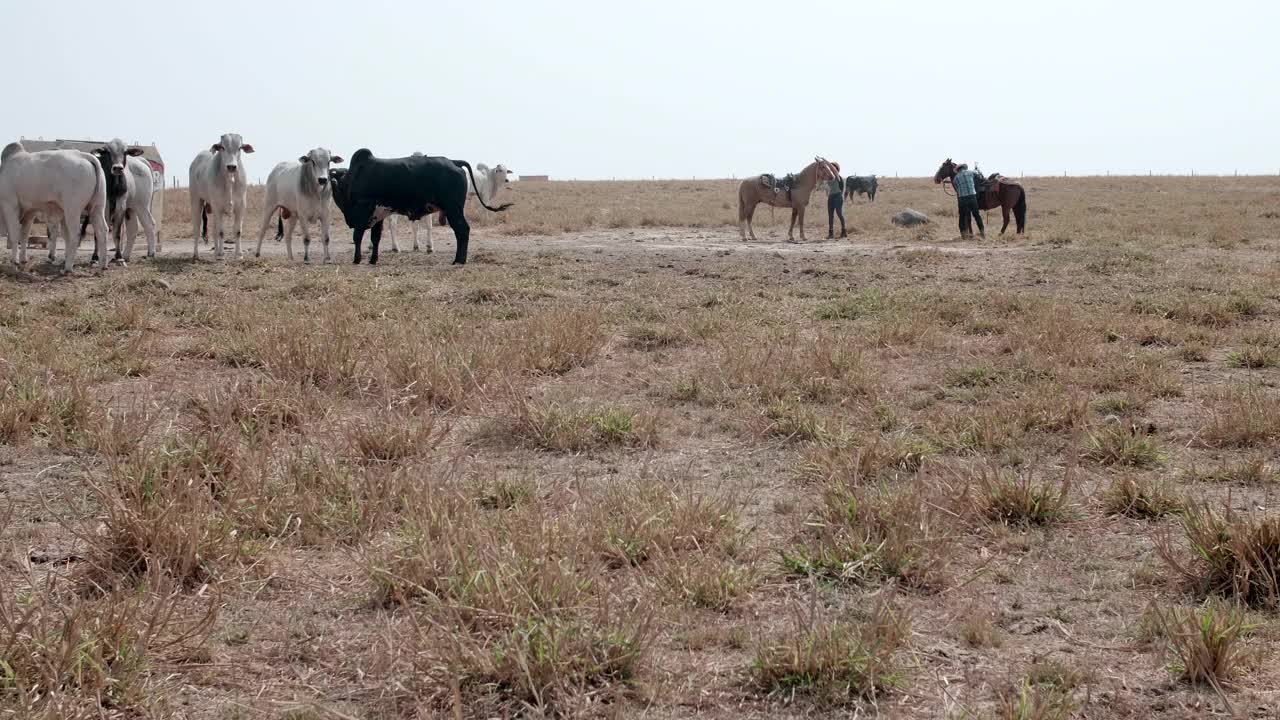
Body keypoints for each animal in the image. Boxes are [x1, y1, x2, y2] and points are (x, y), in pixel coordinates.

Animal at [0, 141, 110, 270]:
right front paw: (23, 259)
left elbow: (14, 234)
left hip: (72, 209)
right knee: (102, 230)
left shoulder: (9, 205)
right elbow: (24, 235)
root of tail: (83, 155)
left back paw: (68, 267)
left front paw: (14, 261)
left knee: (75, 233)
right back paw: (103, 265)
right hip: (97, 207)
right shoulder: (30, 211)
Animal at [327, 148, 512, 263]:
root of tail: (453, 162)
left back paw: (458, 260)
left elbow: (357, 237)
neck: (352, 178)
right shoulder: (378, 214)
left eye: (333, 177)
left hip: (454, 209)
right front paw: (373, 260)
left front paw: (356, 259)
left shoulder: (362, 211)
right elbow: (375, 238)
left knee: (463, 231)